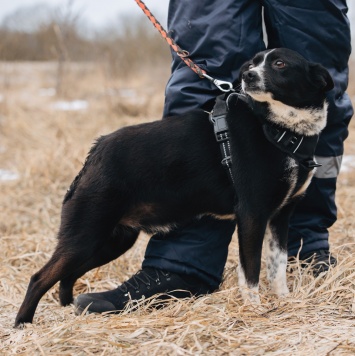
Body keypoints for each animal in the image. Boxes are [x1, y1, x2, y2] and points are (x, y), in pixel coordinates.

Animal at [16, 48, 334, 326]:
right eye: (252, 64)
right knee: (40, 277)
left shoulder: (282, 215)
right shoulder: (252, 217)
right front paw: (254, 310)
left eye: (279, 64)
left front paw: (285, 300)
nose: (248, 76)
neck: (278, 128)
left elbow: (278, 266)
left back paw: (69, 306)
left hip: (110, 241)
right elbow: (252, 272)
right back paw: (23, 324)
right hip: (86, 234)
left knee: (67, 275)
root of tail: (96, 151)